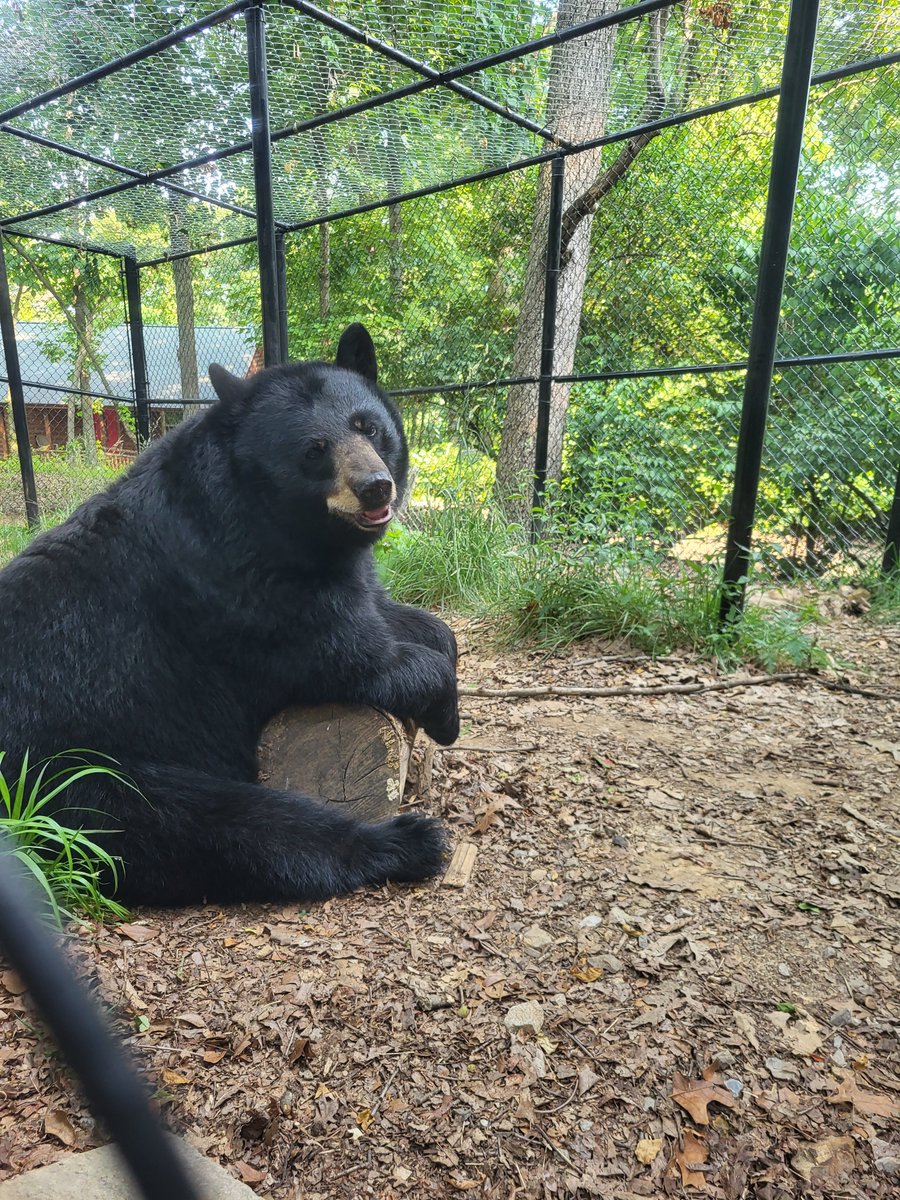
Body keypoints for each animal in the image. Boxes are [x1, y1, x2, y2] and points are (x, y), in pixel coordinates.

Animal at [0, 323, 459, 906]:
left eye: (368, 426)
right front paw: (446, 715)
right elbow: (352, 655)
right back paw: (404, 842)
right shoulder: (240, 586)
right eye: (314, 450)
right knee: (221, 824)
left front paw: (437, 646)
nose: (375, 486)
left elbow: (394, 615)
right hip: (72, 771)